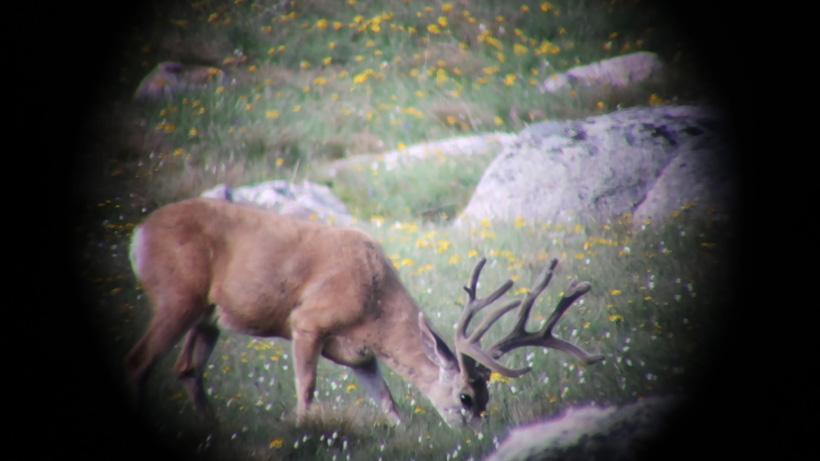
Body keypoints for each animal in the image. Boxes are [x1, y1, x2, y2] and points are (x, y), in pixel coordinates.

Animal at [126, 197, 603, 429]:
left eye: (488, 398)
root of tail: (139, 233)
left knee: (187, 369)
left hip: (208, 317)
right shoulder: (307, 323)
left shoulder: (359, 356)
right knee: (139, 360)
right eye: (467, 397)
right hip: (177, 297)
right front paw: (302, 428)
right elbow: (307, 387)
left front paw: (403, 432)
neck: (374, 304)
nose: (476, 431)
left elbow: (389, 401)